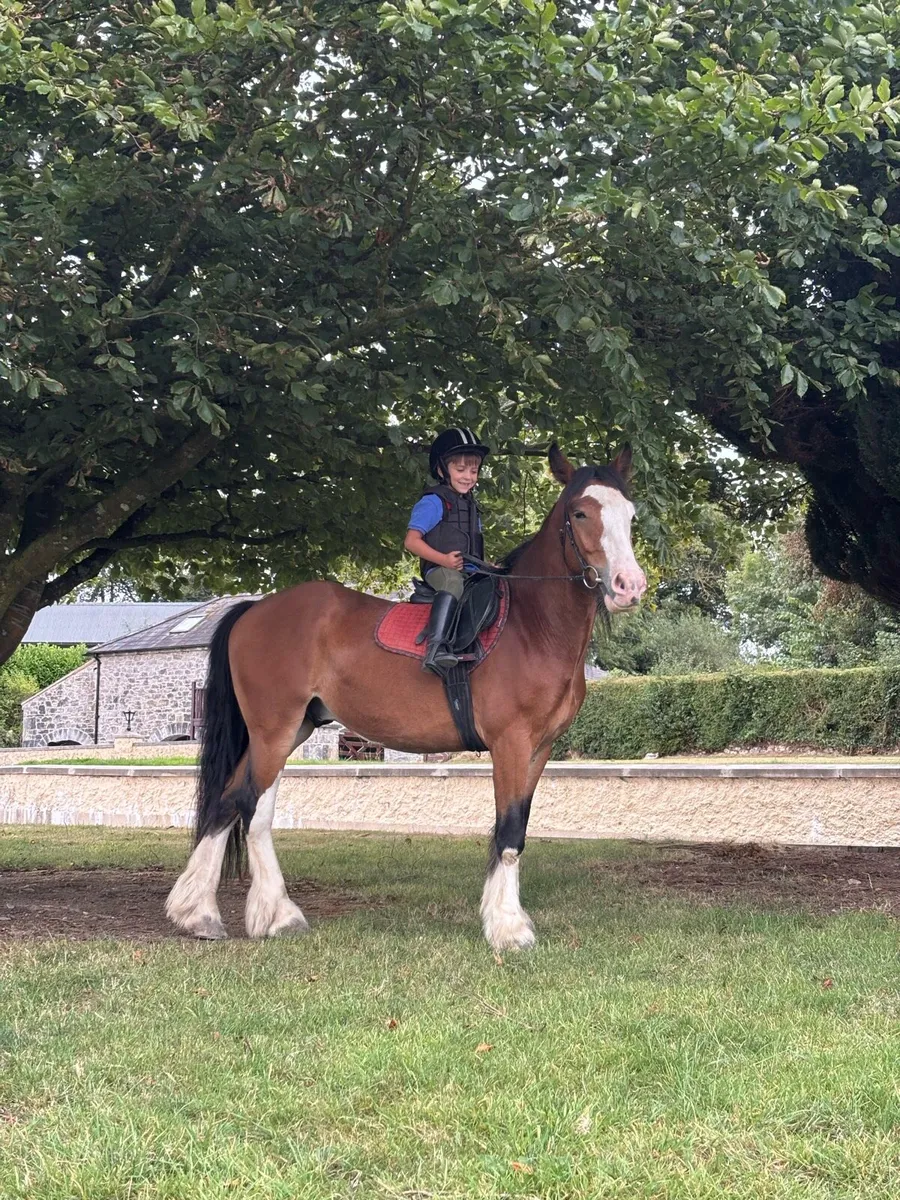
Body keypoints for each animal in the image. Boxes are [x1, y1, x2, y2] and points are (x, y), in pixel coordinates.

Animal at [166, 444, 647, 951]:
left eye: (631, 515)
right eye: (580, 513)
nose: (629, 587)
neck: (531, 625)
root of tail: (254, 610)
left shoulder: (540, 749)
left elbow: (519, 829)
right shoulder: (511, 745)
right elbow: (508, 830)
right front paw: (508, 927)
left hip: (287, 731)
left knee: (233, 804)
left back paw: (215, 913)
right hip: (273, 730)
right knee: (248, 805)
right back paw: (256, 915)